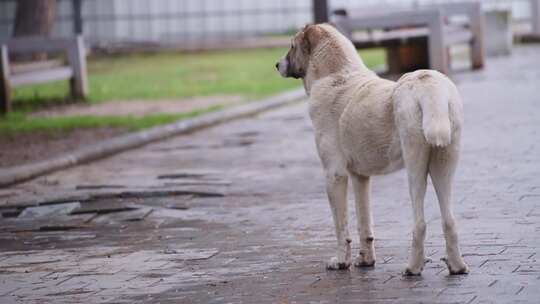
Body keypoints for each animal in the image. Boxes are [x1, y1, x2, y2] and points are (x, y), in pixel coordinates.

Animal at [276, 24, 466, 276]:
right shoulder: (360, 177)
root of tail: (429, 85)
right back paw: (457, 266)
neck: (336, 75)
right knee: (450, 220)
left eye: (292, 46)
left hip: (415, 168)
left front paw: (341, 261)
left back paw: (413, 267)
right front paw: (366, 260)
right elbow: (363, 222)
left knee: (420, 223)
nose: (276, 65)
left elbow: (341, 226)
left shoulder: (334, 175)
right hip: (444, 167)